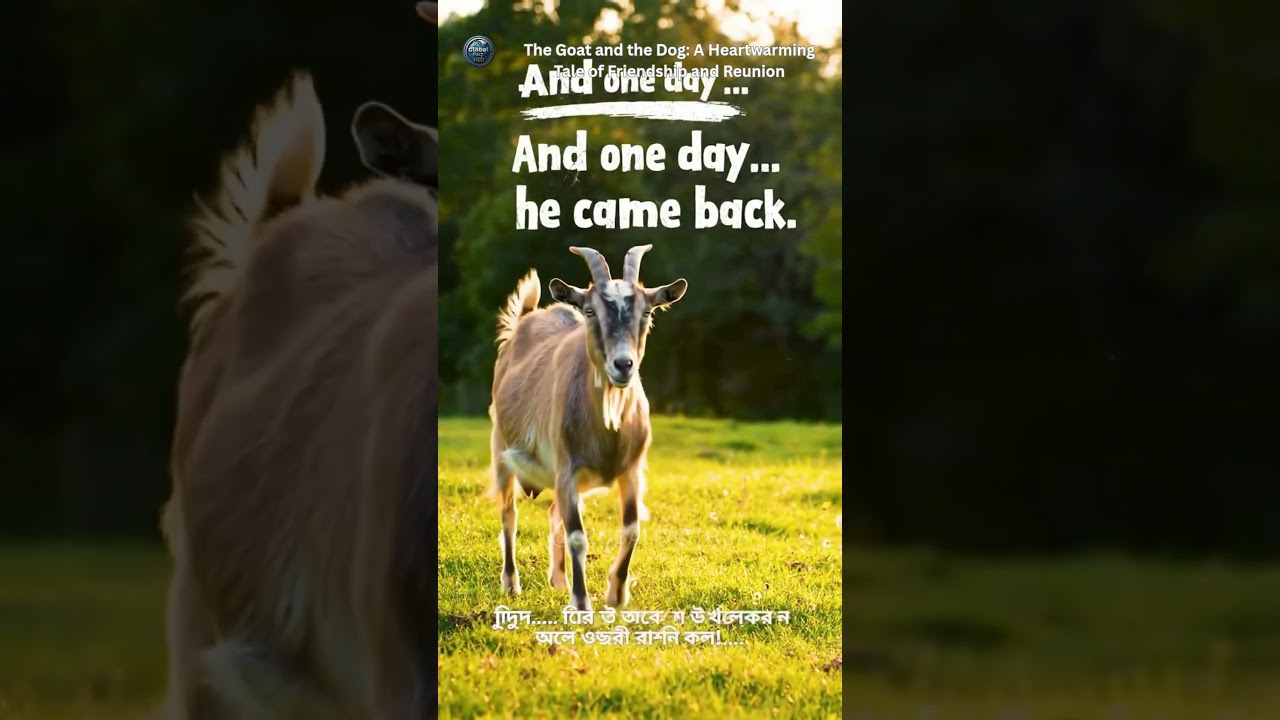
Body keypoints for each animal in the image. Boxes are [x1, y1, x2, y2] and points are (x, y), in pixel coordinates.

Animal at [488, 246, 688, 612]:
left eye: (647, 312)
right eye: (590, 311)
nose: (623, 365)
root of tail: (526, 319)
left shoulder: (632, 471)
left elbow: (631, 530)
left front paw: (616, 594)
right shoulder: (567, 468)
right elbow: (578, 536)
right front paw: (581, 603)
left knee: (553, 512)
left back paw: (558, 580)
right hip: (502, 450)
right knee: (509, 513)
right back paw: (511, 584)